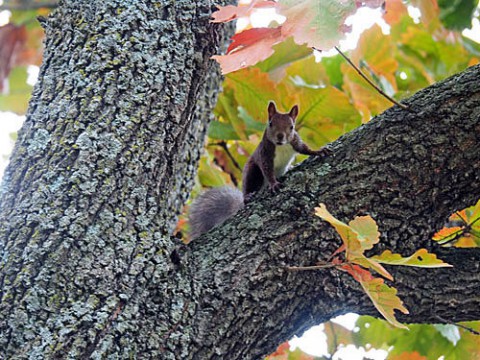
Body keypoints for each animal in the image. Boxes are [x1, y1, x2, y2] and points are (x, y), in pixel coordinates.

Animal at [188, 101, 330, 240]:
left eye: (292, 127)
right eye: (271, 123)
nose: (280, 136)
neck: (281, 146)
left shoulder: (295, 141)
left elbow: (305, 149)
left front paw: (319, 151)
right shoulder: (264, 153)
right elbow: (267, 170)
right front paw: (274, 184)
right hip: (252, 172)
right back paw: (248, 196)